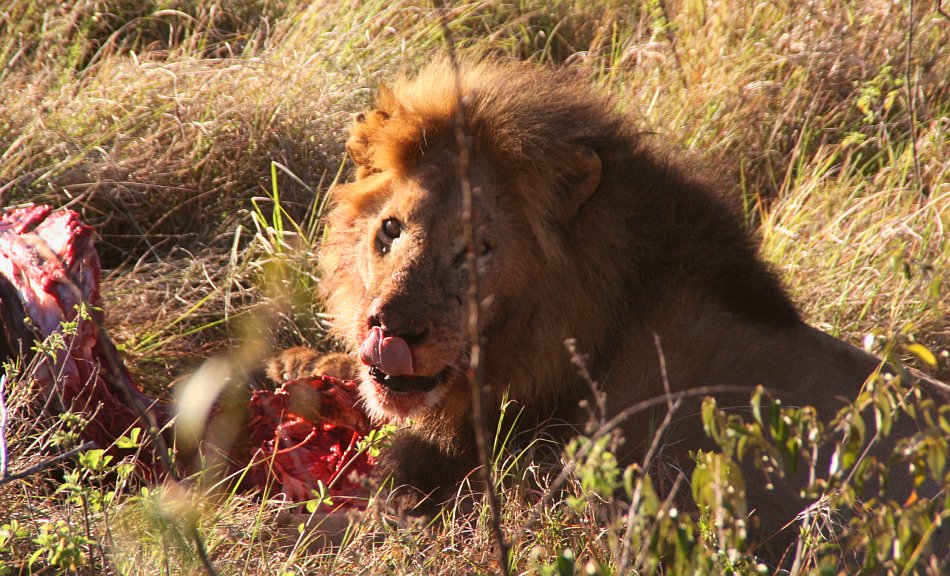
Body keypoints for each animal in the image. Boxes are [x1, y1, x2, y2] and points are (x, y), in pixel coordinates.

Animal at [266, 58, 944, 560]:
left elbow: (369, 502)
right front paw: (292, 366)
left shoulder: (510, 484)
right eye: (390, 230)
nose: (390, 329)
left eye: (477, 249)